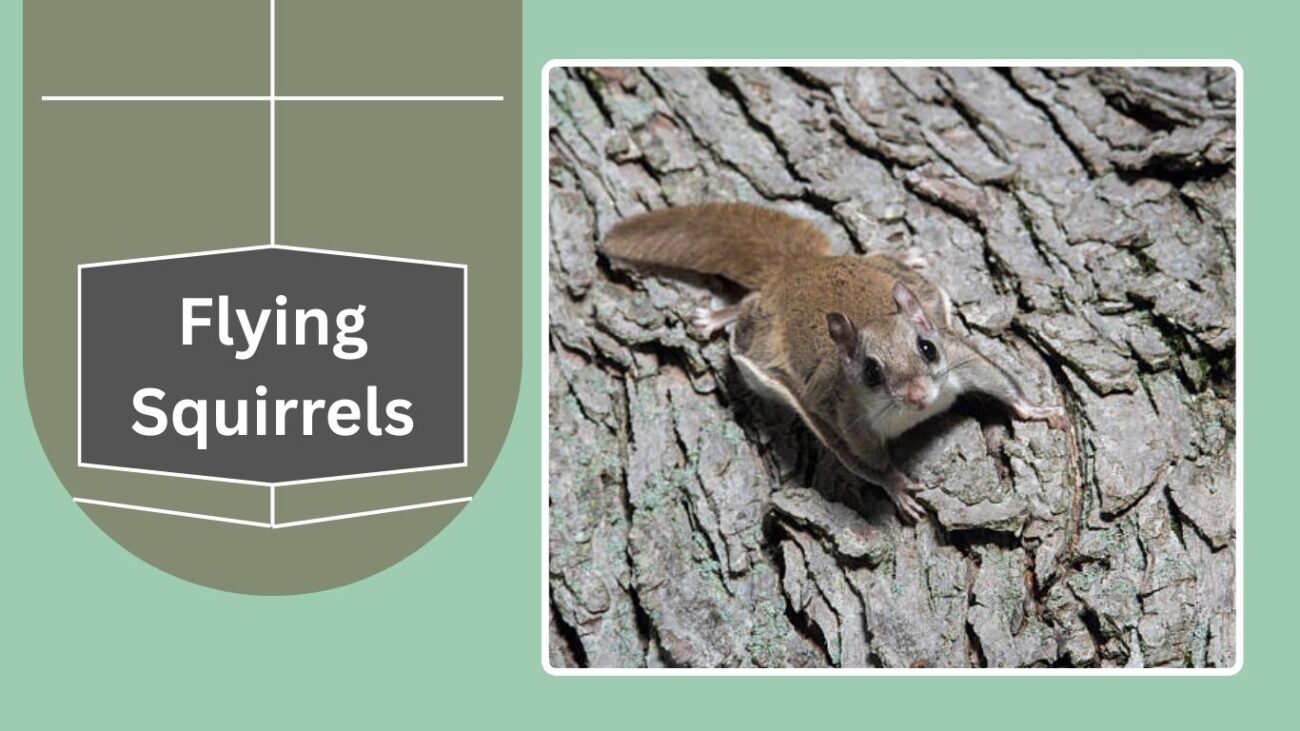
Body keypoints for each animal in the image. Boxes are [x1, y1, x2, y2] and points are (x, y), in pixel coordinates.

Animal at [600, 202, 1069, 522]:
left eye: (927, 349)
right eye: (871, 373)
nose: (919, 397)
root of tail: (798, 268)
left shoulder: (960, 357)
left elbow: (1001, 380)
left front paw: (1037, 410)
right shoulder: (843, 417)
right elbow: (864, 461)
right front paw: (898, 487)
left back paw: (903, 255)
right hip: (759, 332)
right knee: (746, 309)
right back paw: (718, 317)